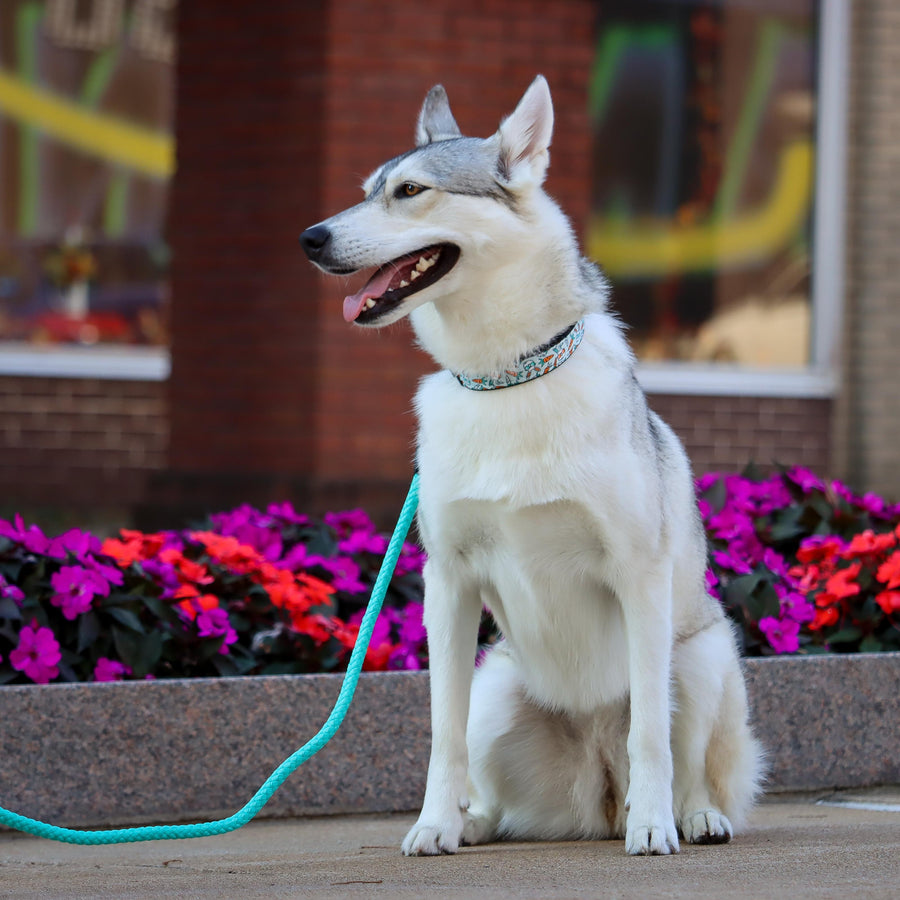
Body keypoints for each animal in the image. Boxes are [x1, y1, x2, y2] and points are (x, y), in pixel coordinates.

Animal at [300, 77, 760, 856]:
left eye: (410, 190)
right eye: (366, 192)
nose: (311, 238)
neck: (506, 379)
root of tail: (597, 792)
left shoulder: (639, 576)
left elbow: (652, 736)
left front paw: (654, 827)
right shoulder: (448, 586)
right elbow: (441, 738)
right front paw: (434, 825)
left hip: (700, 659)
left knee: (684, 760)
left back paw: (687, 817)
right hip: (495, 688)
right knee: (490, 779)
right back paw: (476, 823)